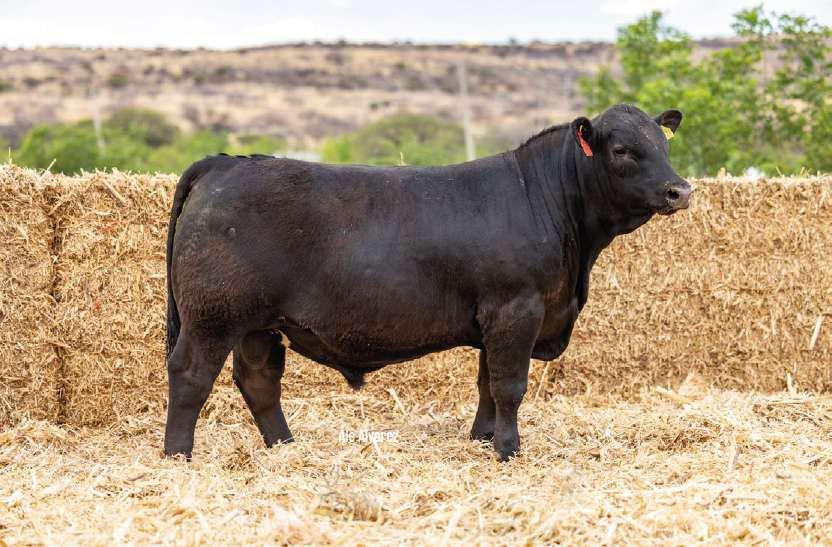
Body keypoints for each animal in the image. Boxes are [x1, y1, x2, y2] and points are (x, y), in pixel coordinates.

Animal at [163, 104, 692, 461]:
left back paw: (285, 448)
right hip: (212, 317)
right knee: (191, 375)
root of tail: (228, 161)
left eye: (665, 145)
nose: (680, 190)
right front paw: (508, 449)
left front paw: (481, 439)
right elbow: (509, 384)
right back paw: (178, 457)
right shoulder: (516, 309)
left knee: (258, 380)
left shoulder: (495, 319)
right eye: (623, 150)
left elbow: (485, 384)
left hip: (257, 323)